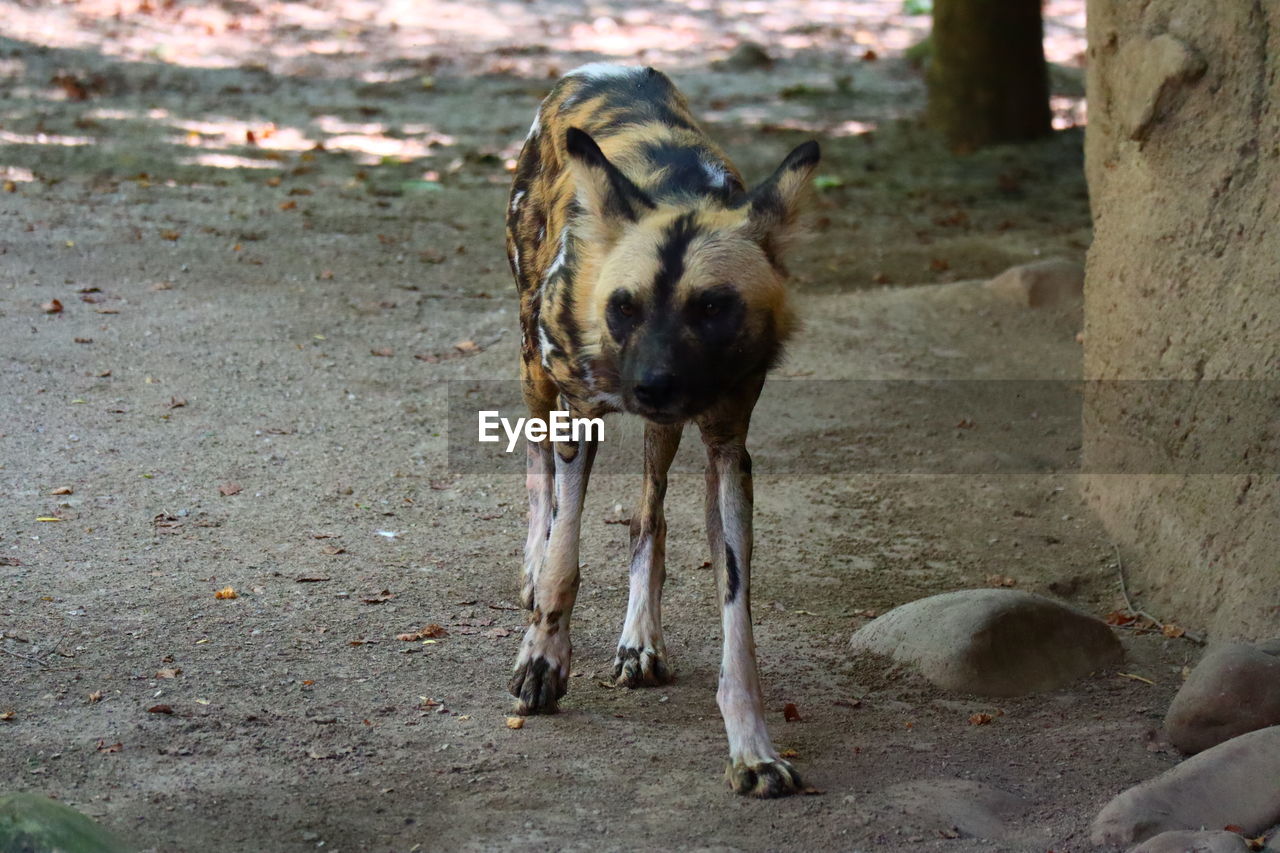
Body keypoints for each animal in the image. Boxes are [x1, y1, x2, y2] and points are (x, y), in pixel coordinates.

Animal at [501, 63, 819, 794]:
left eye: (712, 307)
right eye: (625, 306)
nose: (650, 384)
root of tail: (598, 66)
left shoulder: (727, 449)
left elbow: (738, 625)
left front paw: (753, 748)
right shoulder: (580, 417)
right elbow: (564, 559)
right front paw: (542, 658)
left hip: (664, 432)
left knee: (647, 518)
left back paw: (639, 640)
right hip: (537, 372)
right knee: (539, 478)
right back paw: (531, 568)